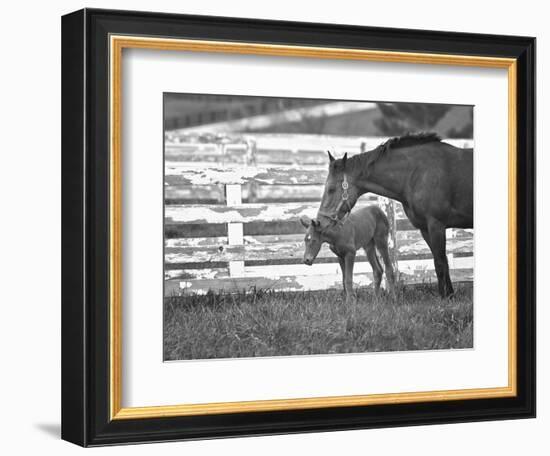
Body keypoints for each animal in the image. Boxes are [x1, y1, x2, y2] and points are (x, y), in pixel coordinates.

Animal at [320, 132, 474, 298]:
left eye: (331, 189)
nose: (320, 221)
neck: (419, 172)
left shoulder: (436, 225)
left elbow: (439, 262)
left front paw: (444, 297)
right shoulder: (425, 229)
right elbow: (443, 261)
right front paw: (450, 295)